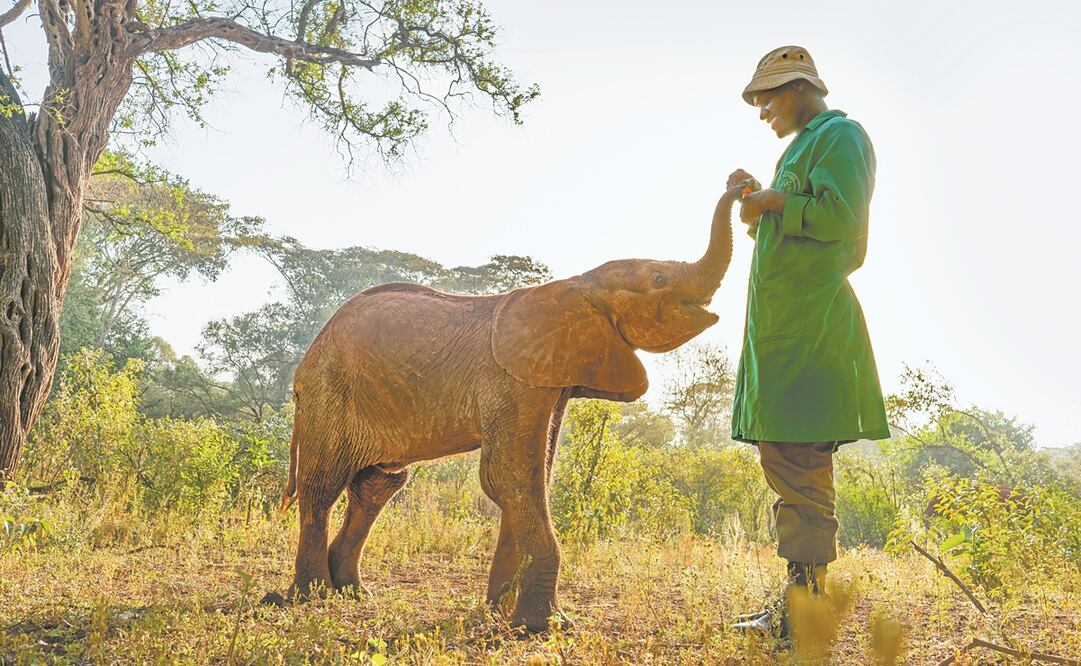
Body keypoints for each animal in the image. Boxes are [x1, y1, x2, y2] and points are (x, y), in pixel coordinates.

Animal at [274, 183, 745, 632]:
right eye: (660, 279)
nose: (741, 183)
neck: (579, 283)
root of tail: (307, 361)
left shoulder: (549, 381)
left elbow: (532, 478)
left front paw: (499, 613)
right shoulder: (510, 381)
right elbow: (509, 477)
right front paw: (544, 625)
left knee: (378, 484)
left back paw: (352, 592)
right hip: (329, 392)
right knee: (323, 485)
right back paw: (311, 595)